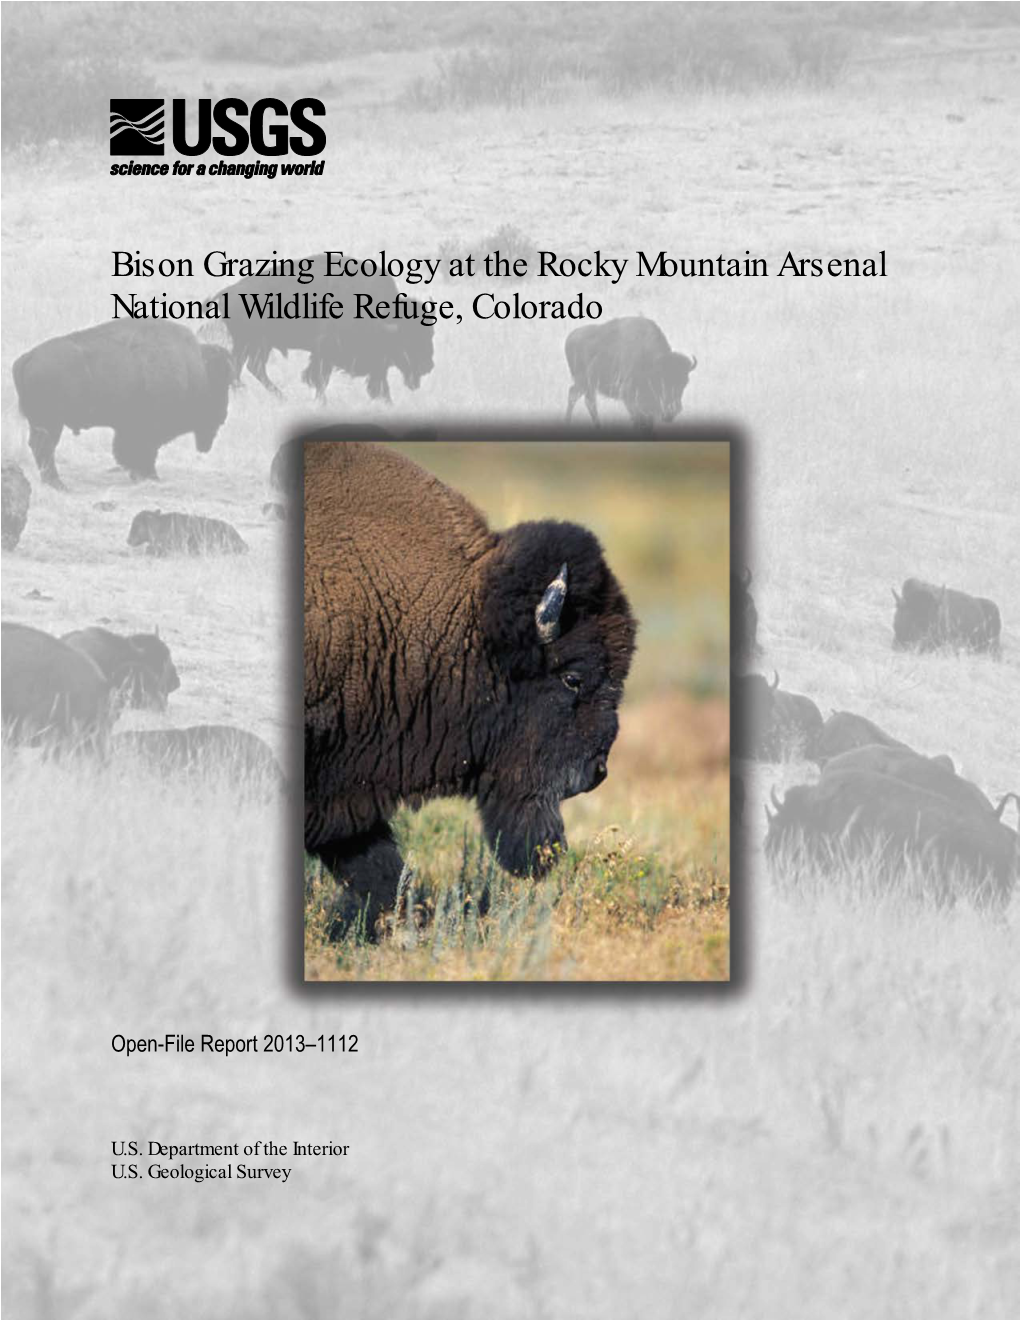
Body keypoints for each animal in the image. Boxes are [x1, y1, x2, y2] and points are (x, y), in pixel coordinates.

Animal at [12, 319, 232, 491]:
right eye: (222, 385)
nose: (223, 416)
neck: (195, 369)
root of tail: (28, 357)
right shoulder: (146, 430)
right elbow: (143, 452)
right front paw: (151, 477)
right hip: (50, 423)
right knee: (44, 447)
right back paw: (59, 484)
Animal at [211, 252, 432, 401]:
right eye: (408, 341)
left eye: (430, 335)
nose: (428, 366)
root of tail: (227, 291)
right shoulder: (326, 352)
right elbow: (319, 379)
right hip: (253, 344)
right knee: (247, 367)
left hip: (254, 345)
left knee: (246, 367)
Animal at [562, 318, 696, 427]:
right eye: (662, 379)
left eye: (685, 382)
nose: (673, 410)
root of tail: (570, 337)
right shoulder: (629, 397)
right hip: (584, 382)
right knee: (580, 398)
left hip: (587, 385)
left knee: (583, 399)